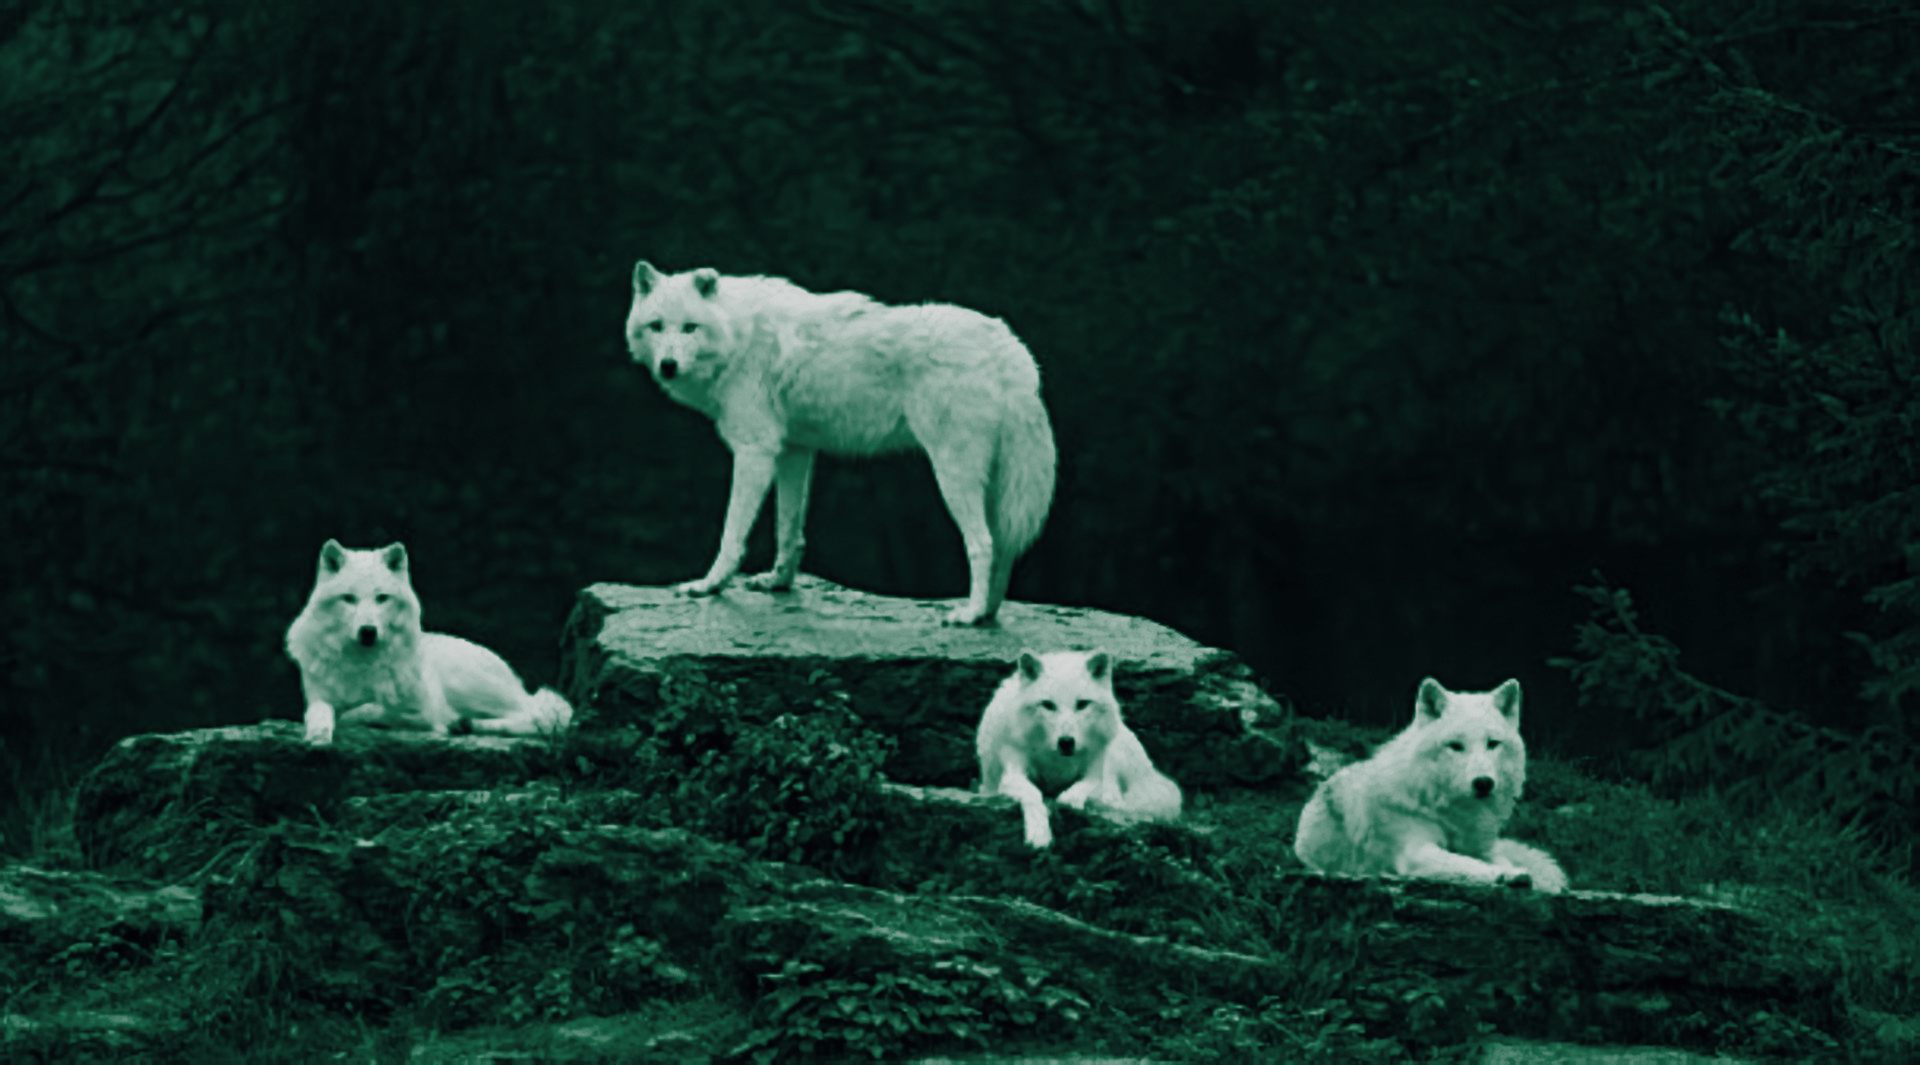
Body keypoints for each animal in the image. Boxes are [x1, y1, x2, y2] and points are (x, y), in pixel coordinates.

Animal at [286, 540, 573, 746]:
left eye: (381, 598)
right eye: (349, 598)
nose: (368, 631)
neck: (362, 663)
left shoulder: (426, 712)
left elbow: (366, 710)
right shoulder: (318, 697)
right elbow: (319, 712)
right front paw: (318, 735)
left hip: (466, 684)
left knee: (539, 717)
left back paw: (468, 724)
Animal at [626, 261, 1057, 626]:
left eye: (689, 328)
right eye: (656, 326)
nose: (668, 365)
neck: (739, 336)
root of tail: (1009, 348)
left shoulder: (755, 452)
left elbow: (731, 534)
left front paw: (709, 585)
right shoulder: (794, 451)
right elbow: (789, 529)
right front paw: (778, 583)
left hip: (954, 475)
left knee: (983, 544)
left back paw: (968, 615)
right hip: (994, 485)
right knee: (1004, 547)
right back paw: (987, 613)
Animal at [975, 649, 1184, 848]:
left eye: (1082, 704)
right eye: (1048, 705)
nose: (1066, 741)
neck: (1056, 760)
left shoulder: (1098, 772)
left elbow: (1082, 789)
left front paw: (1070, 800)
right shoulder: (1012, 772)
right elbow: (1033, 793)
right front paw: (1039, 834)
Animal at [1293, 677, 1567, 892]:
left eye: (1492, 743)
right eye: (1456, 746)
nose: (1483, 783)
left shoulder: (1484, 847)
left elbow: (1497, 859)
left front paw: (1514, 871)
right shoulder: (1416, 852)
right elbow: (1468, 862)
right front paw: (1509, 875)